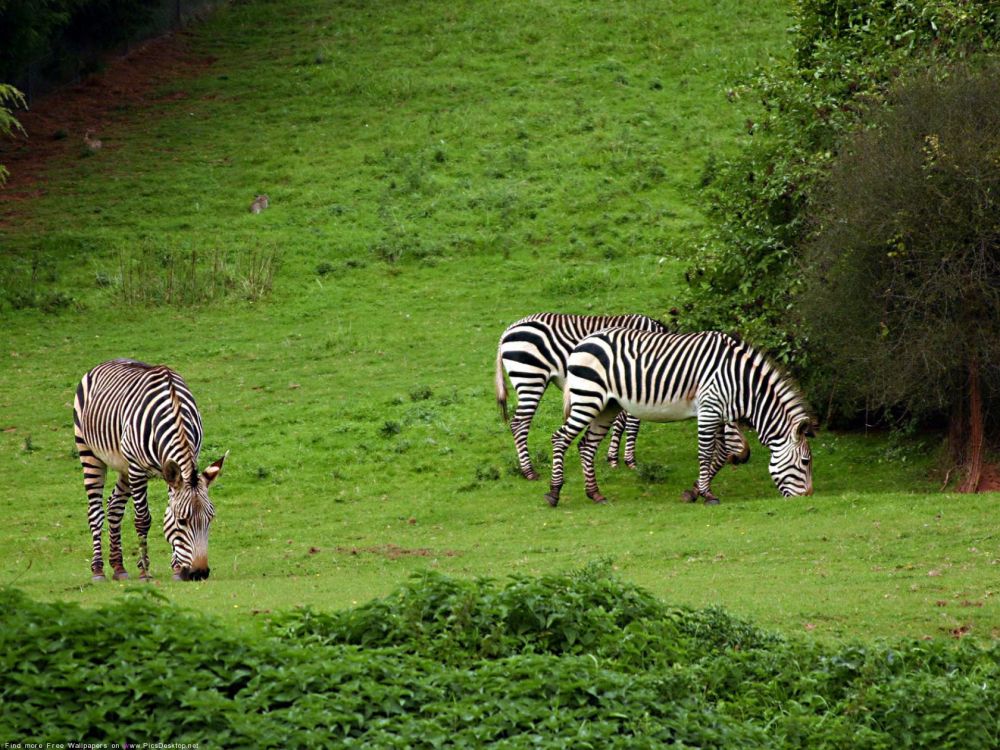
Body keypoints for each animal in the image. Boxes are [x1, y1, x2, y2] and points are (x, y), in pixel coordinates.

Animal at [74, 359, 227, 582]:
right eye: (182, 521)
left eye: (210, 518)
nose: (199, 573)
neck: (174, 410)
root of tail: (105, 363)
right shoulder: (138, 469)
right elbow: (142, 519)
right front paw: (144, 571)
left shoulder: (175, 469)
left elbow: (167, 514)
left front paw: (176, 568)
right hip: (89, 452)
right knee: (95, 512)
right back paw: (98, 570)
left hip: (124, 466)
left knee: (114, 507)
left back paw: (119, 567)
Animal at [544, 329, 815, 507]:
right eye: (805, 462)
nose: (807, 498)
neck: (741, 382)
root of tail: (584, 341)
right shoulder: (709, 409)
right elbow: (706, 454)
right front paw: (708, 495)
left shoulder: (718, 413)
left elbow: (720, 455)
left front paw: (694, 492)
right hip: (588, 398)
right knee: (560, 438)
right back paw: (554, 493)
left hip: (607, 405)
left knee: (586, 446)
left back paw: (595, 494)